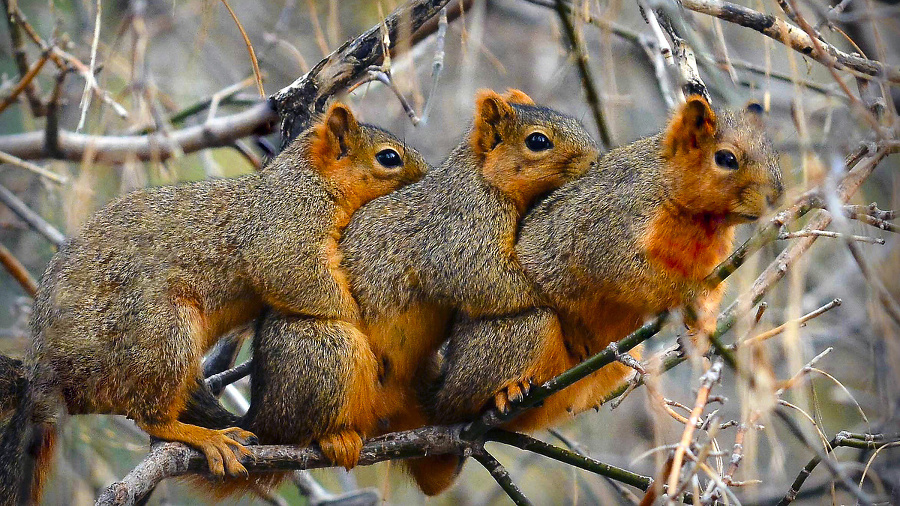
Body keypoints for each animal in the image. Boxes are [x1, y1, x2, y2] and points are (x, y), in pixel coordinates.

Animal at [0, 101, 428, 504]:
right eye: (389, 157)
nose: (424, 177)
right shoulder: (286, 225)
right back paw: (203, 436)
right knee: (148, 415)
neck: (308, 177)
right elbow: (294, 274)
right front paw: (366, 330)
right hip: (161, 331)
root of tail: (47, 371)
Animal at [420, 96, 780, 494]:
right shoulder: (608, 229)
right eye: (726, 159)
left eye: (771, 150)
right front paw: (681, 298)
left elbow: (712, 291)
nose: (776, 197)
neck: (702, 221)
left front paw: (702, 326)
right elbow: (630, 275)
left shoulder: (716, 262)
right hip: (511, 337)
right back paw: (505, 392)